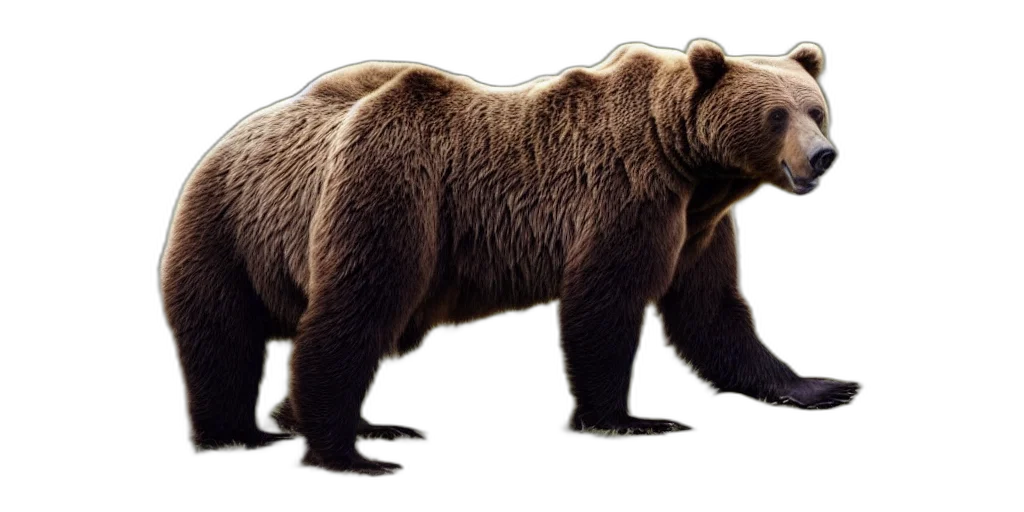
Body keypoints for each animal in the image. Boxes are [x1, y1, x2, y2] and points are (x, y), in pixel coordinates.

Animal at [160, 39, 859, 478]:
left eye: (816, 109)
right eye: (776, 115)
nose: (823, 156)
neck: (688, 162)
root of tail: (236, 132)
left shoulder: (700, 225)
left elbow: (712, 311)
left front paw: (820, 384)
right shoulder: (626, 194)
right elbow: (604, 301)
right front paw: (632, 418)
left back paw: (355, 426)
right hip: (328, 203)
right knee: (299, 322)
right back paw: (306, 443)